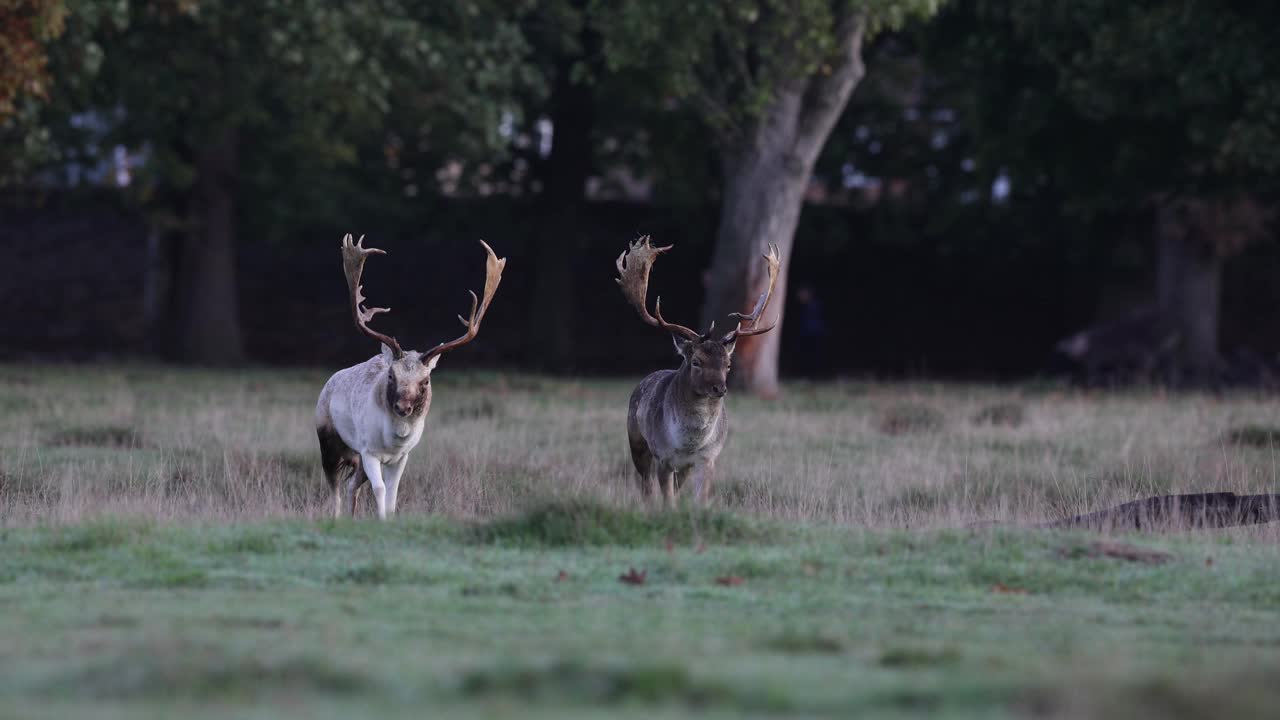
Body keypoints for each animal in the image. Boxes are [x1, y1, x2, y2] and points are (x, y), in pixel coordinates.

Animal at [314, 234, 504, 515]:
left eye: (425, 380)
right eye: (391, 376)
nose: (403, 407)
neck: (392, 441)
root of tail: (329, 382)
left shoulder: (401, 457)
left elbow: (392, 497)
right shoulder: (368, 450)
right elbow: (380, 490)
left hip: (354, 456)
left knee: (351, 486)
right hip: (328, 438)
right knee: (335, 489)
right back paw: (337, 517)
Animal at [611, 235, 778, 504]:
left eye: (728, 364)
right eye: (696, 361)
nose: (719, 388)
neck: (688, 444)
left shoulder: (707, 458)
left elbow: (699, 500)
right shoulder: (664, 457)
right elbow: (666, 500)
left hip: (683, 468)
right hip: (636, 440)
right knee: (646, 487)